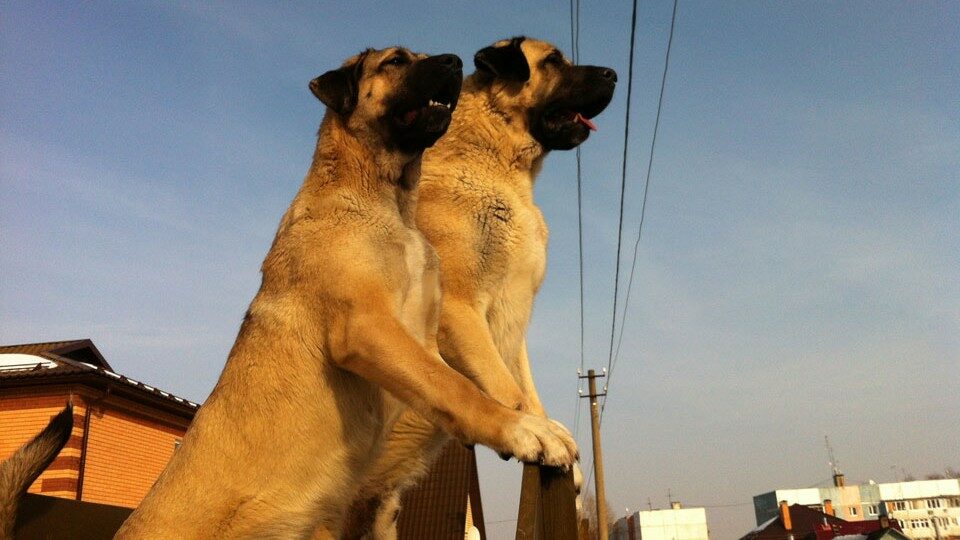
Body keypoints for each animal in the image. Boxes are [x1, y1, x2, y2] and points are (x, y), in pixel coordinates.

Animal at [115, 46, 577, 539]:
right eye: (395, 61)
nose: (455, 61)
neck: (387, 199)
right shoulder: (368, 326)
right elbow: (457, 388)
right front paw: (526, 428)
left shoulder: (423, 340)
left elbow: (450, 385)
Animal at [345, 37, 616, 538]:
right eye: (553, 61)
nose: (612, 74)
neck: (498, 164)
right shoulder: (460, 309)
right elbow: (508, 389)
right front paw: (538, 435)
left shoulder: (513, 322)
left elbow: (526, 387)